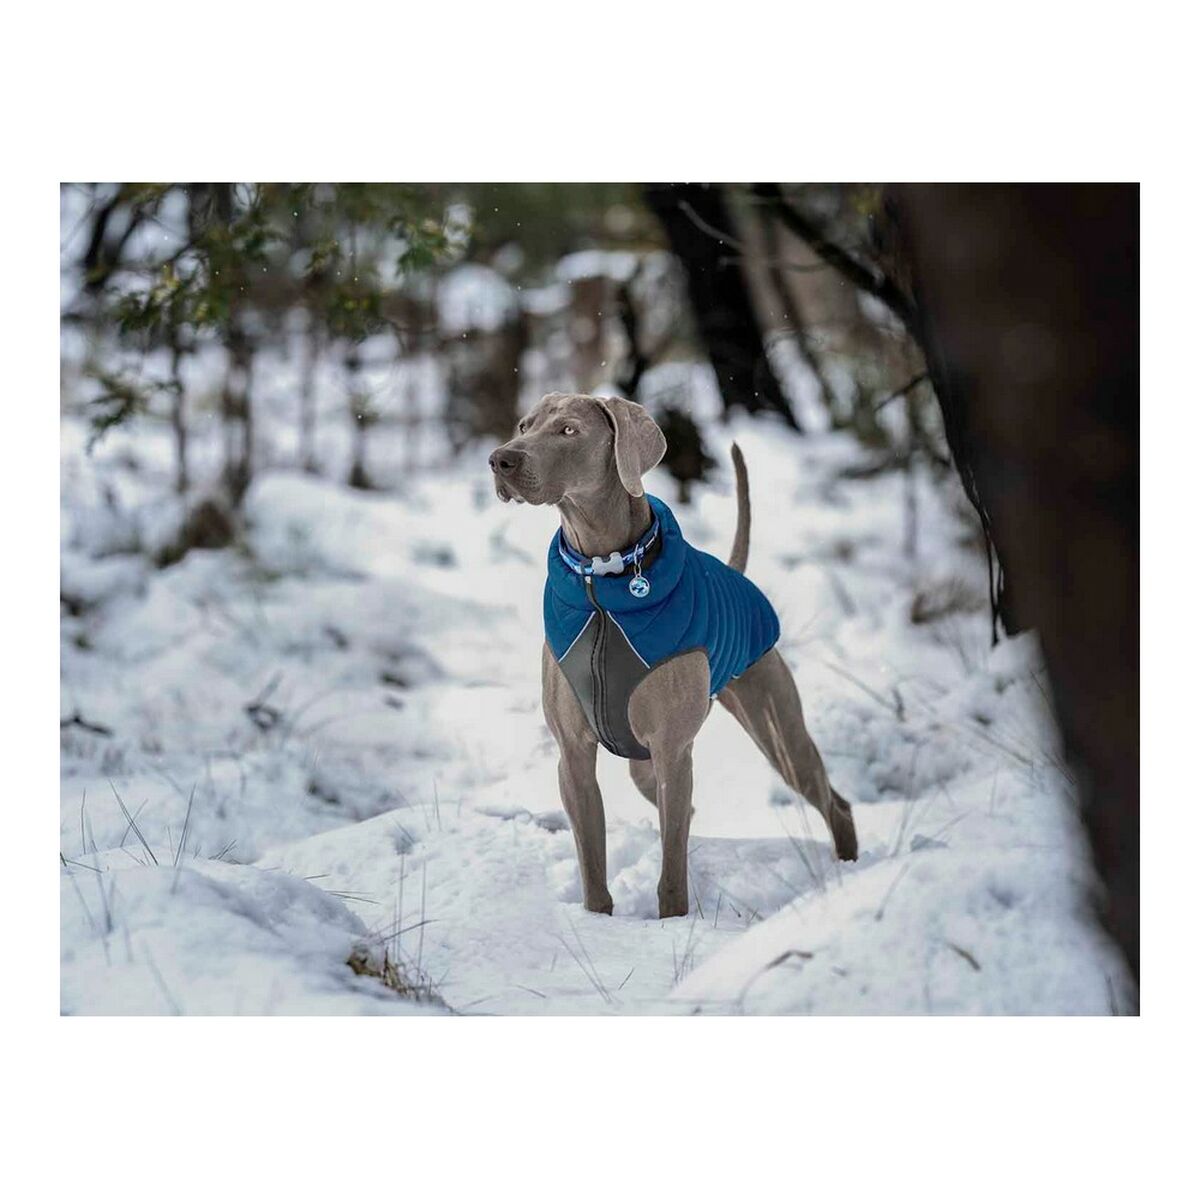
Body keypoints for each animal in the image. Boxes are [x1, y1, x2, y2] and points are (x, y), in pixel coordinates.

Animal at [487, 393, 854, 916]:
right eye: (524, 425)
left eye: (569, 430)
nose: (501, 459)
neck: (602, 580)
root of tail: (737, 574)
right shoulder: (573, 755)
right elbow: (592, 863)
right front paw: (597, 919)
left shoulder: (673, 751)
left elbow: (672, 874)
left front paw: (673, 920)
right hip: (647, 765)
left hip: (776, 728)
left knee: (832, 803)